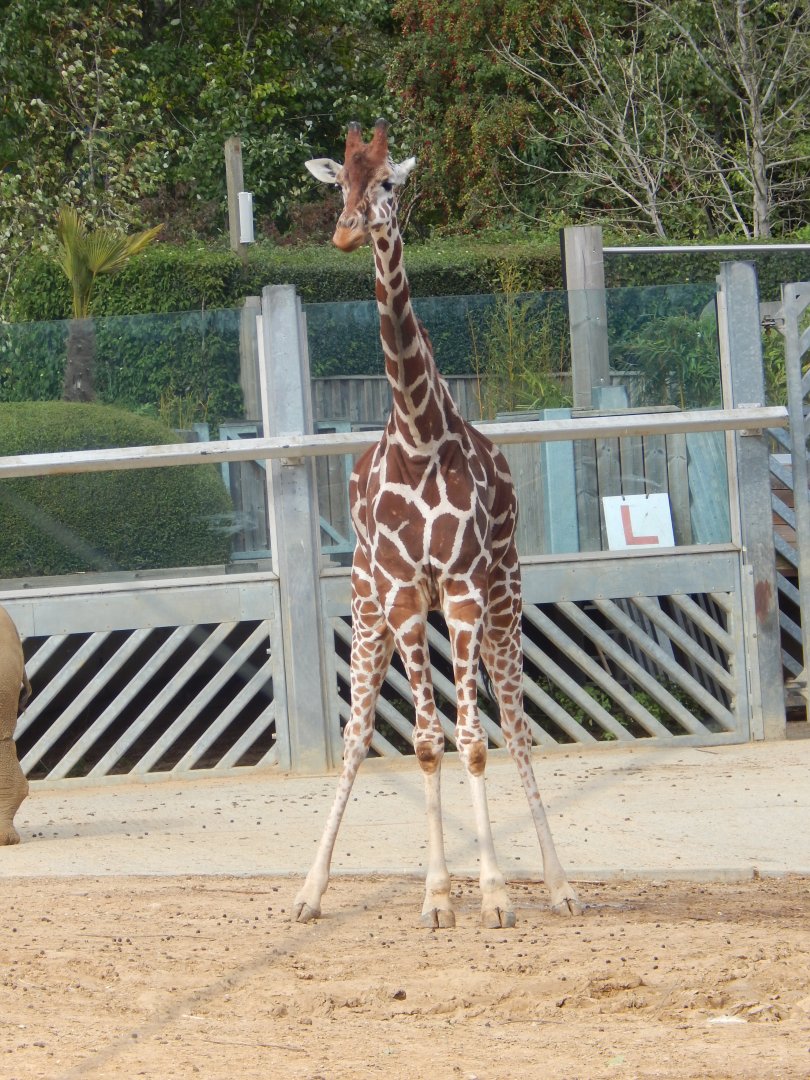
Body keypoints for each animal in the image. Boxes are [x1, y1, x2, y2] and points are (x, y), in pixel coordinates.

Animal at [293, 119, 581, 928]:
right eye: (339, 181)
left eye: (389, 181)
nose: (346, 230)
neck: (419, 433)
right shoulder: (399, 594)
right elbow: (423, 741)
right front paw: (437, 895)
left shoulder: (461, 590)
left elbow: (475, 739)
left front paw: (495, 894)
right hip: (367, 613)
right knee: (358, 732)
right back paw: (309, 890)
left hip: (503, 604)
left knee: (516, 724)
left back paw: (560, 884)